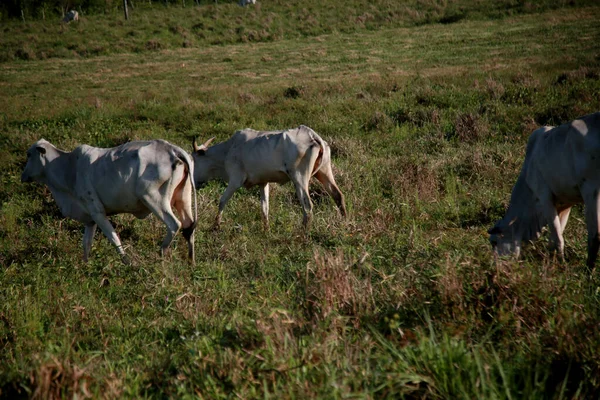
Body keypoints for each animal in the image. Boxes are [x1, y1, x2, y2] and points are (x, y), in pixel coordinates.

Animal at [21, 139, 197, 264]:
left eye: (29, 155)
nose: (23, 176)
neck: (69, 168)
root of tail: (172, 149)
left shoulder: (97, 212)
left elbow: (114, 238)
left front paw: (127, 262)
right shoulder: (90, 219)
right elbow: (86, 244)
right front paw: (85, 265)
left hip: (153, 198)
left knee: (174, 224)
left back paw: (161, 254)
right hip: (183, 197)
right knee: (189, 226)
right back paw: (191, 261)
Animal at [190, 125, 344, 231]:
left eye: (193, 160)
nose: (193, 183)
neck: (227, 150)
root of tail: (313, 136)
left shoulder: (235, 180)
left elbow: (222, 201)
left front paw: (215, 226)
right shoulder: (263, 183)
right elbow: (265, 207)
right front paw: (266, 229)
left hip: (299, 178)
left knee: (307, 205)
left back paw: (303, 232)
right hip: (324, 172)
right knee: (338, 195)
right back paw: (344, 222)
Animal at [488, 111, 600, 268]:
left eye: (494, 242)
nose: (494, 265)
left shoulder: (544, 197)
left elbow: (558, 238)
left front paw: (560, 263)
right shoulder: (565, 204)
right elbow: (556, 234)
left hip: (591, 190)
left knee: (595, 236)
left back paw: (589, 268)